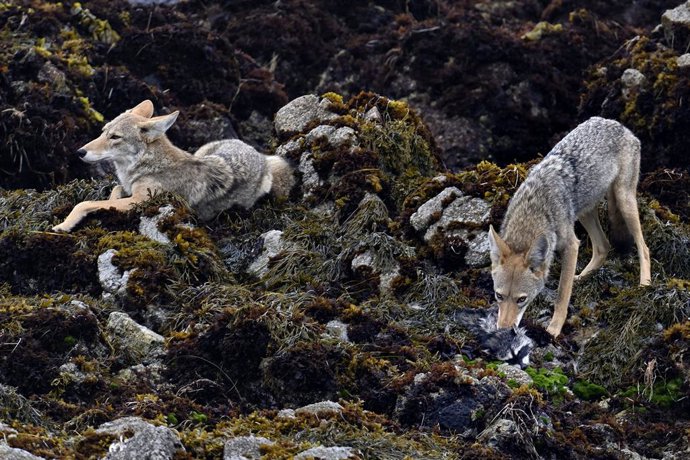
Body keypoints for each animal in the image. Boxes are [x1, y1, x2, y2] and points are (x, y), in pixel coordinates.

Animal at [52, 100, 294, 232]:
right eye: (103, 132)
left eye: (115, 137)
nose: (80, 152)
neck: (146, 165)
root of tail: (258, 154)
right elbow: (114, 189)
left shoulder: (140, 201)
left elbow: (84, 203)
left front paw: (63, 225)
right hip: (204, 150)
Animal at [488, 117, 651, 337]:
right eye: (499, 296)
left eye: (521, 299)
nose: (504, 331)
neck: (534, 211)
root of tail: (619, 125)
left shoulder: (572, 245)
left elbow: (562, 295)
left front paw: (553, 330)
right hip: (585, 212)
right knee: (603, 247)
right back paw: (581, 277)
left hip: (624, 200)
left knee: (643, 247)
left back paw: (645, 284)